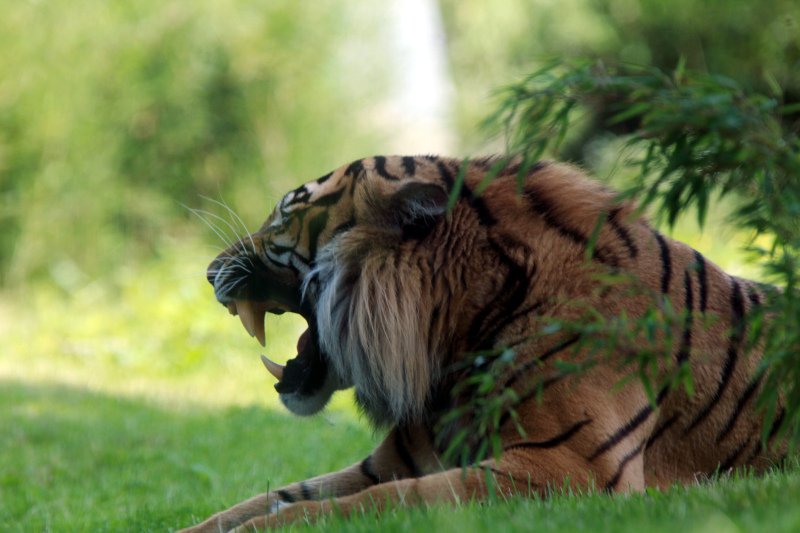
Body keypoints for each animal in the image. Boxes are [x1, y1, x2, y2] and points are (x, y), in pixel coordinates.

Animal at [183, 156, 788, 528]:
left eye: (284, 216)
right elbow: (260, 499)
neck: (454, 333)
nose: (208, 273)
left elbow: (375, 503)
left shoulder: (570, 469)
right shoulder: (390, 461)